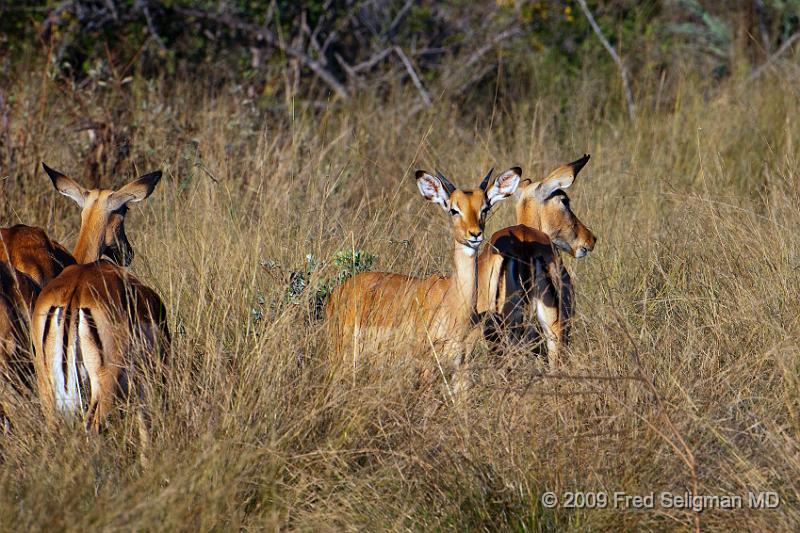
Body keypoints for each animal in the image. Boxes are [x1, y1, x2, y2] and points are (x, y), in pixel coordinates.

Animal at [31, 161, 169, 454]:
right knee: (94, 429)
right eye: (124, 209)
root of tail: (73, 298)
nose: (127, 253)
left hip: (47, 383)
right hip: (105, 383)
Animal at [324, 166, 520, 390]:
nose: (475, 234)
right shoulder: (427, 367)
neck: (456, 306)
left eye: (485, 208)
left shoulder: (462, 369)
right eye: (454, 209)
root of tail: (338, 292)